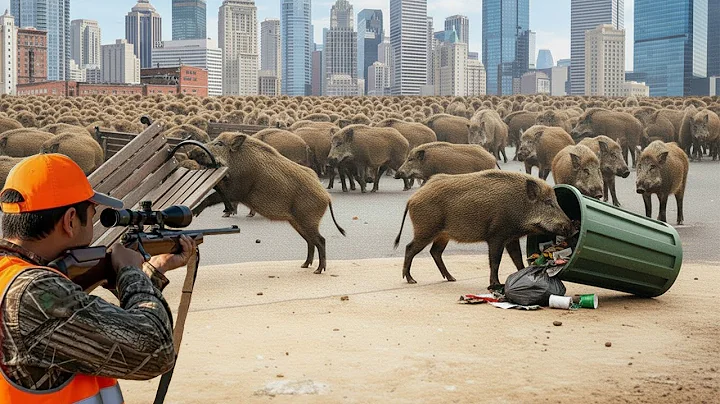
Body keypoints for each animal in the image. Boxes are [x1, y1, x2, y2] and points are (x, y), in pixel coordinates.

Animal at [189, 132, 346, 273]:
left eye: (219, 143)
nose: (191, 151)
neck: (237, 160)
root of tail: (327, 197)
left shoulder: (238, 190)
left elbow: (214, 196)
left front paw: (194, 212)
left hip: (308, 220)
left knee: (320, 240)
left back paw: (318, 270)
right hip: (298, 223)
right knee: (310, 241)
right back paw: (304, 265)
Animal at [394, 170, 575, 289]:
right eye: (549, 203)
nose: (573, 228)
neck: (521, 207)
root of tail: (412, 198)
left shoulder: (511, 238)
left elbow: (517, 258)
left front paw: (522, 274)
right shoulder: (496, 235)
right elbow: (495, 260)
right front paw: (496, 284)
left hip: (443, 235)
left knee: (435, 252)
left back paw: (452, 279)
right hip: (426, 230)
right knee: (410, 248)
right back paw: (411, 280)